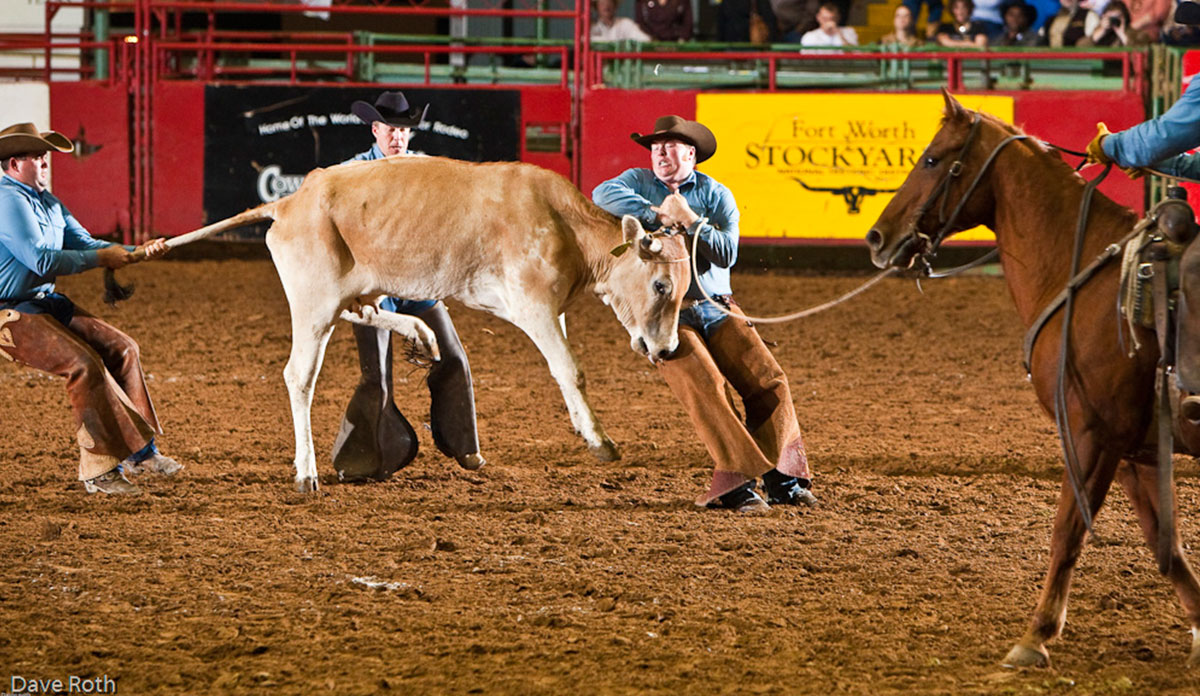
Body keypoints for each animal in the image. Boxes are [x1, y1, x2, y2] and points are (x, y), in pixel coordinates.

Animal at [864, 90, 1200, 667]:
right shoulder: (1136, 449)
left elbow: (1067, 532)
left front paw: (1036, 634)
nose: (876, 237)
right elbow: (1166, 543)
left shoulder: (1089, 434)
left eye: (931, 159)